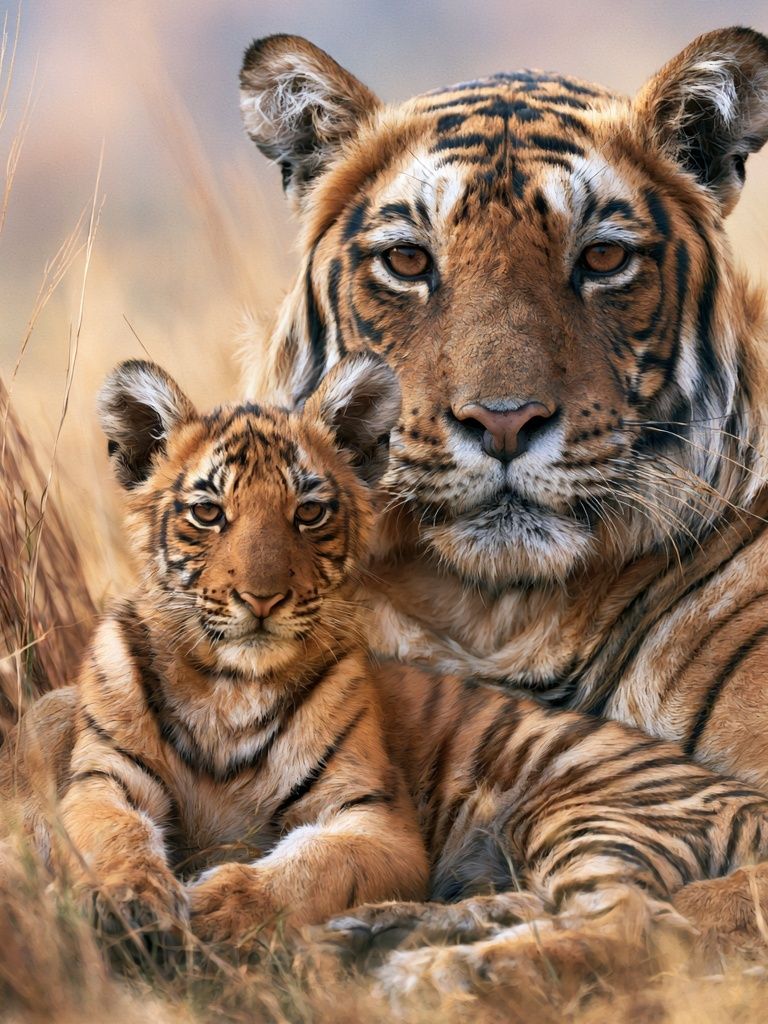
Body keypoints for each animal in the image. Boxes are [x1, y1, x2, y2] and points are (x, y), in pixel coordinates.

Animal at [5, 356, 768, 1005]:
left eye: (309, 512)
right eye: (208, 513)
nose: (261, 599)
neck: (228, 684)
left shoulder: (374, 819)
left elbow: (307, 869)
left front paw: (218, 906)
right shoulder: (104, 782)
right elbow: (114, 841)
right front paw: (130, 905)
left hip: (586, 813)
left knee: (638, 923)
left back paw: (434, 972)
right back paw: (380, 935)